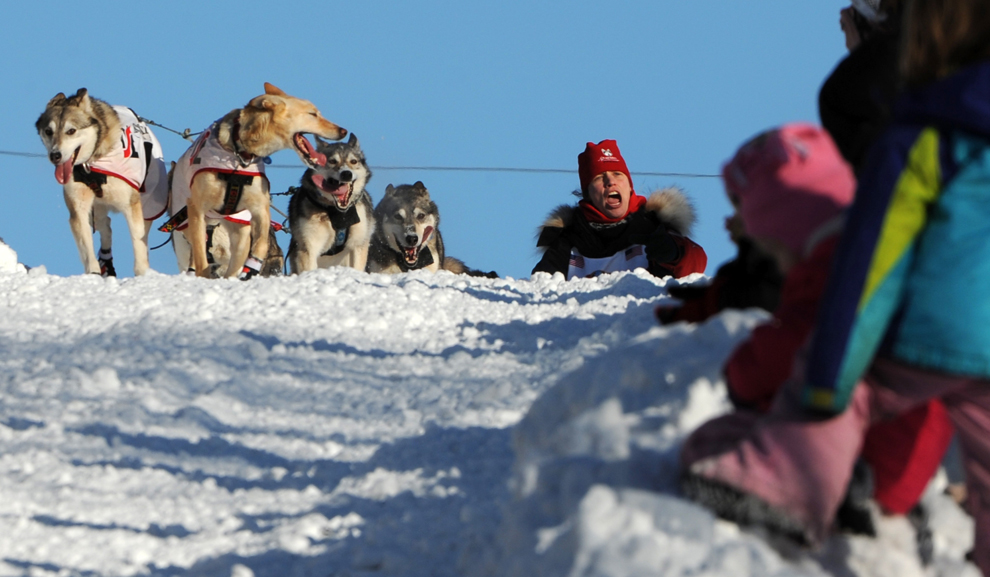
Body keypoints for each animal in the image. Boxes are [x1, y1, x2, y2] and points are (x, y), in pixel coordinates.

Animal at [35, 88, 169, 276]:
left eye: (71, 131)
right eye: (48, 131)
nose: (55, 155)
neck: (92, 163)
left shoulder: (131, 205)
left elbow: (138, 241)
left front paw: (143, 273)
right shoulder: (79, 208)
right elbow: (87, 247)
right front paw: (93, 273)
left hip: (149, 203)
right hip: (96, 210)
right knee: (105, 225)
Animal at [165, 82, 346, 278]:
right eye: (313, 114)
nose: (343, 130)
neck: (240, 155)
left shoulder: (260, 208)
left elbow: (260, 244)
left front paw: (252, 266)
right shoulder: (197, 208)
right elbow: (200, 256)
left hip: (240, 229)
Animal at [290, 134, 380, 274]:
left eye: (353, 161)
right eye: (332, 161)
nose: (346, 174)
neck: (338, 213)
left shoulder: (358, 243)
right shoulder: (309, 246)